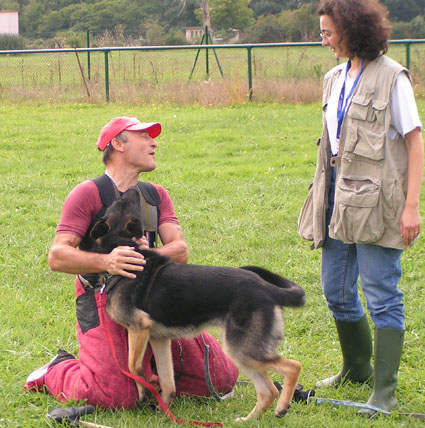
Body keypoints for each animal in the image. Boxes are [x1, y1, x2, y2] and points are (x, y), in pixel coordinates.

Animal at [90, 186, 305, 421]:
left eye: (121, 201)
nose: (133, 188)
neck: (123, 245)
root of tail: (266, 288)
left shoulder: (138, 327)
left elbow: (132, 366)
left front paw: (145, 395)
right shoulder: (158, 339)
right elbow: (168, 382)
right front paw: (164, 411)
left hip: (240, 349)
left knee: (292, 367)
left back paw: (282, 406)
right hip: (242, 351)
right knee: (268, 390)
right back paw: (248, 420)